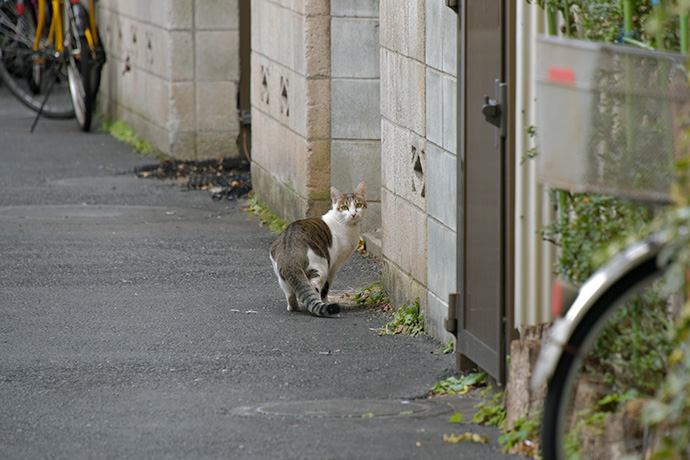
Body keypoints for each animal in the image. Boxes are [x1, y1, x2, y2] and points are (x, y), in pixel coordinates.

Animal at [268, 181, 366, 318]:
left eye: (358, 205)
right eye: (344, 207)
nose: (353, 214)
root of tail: (289, 254)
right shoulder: (333, 265)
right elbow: (326, 287)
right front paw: (326, 301)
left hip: (281, 278)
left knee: (291, 295)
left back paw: (295, 307)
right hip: (321, 267)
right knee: (314, 287)